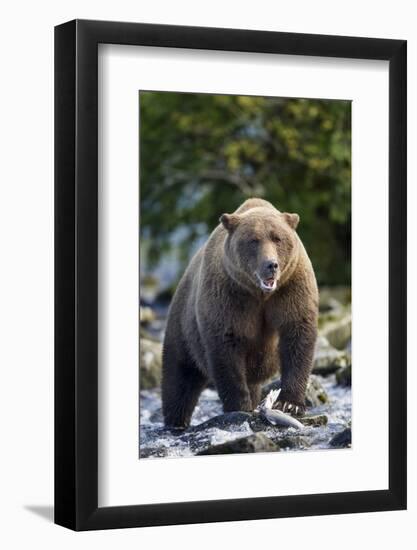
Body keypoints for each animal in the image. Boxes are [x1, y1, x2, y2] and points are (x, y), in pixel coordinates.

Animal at [161, 198, 316, 432]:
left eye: (277, 238)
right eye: (253, 240)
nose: (271, 265)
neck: (260, 293)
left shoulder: (291, 288)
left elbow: (297, 335)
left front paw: (290, 404)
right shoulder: (229, 297)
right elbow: (226, 348)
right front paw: (239, 406)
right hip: (182, 327)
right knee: (179, 377)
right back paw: (175, 421)